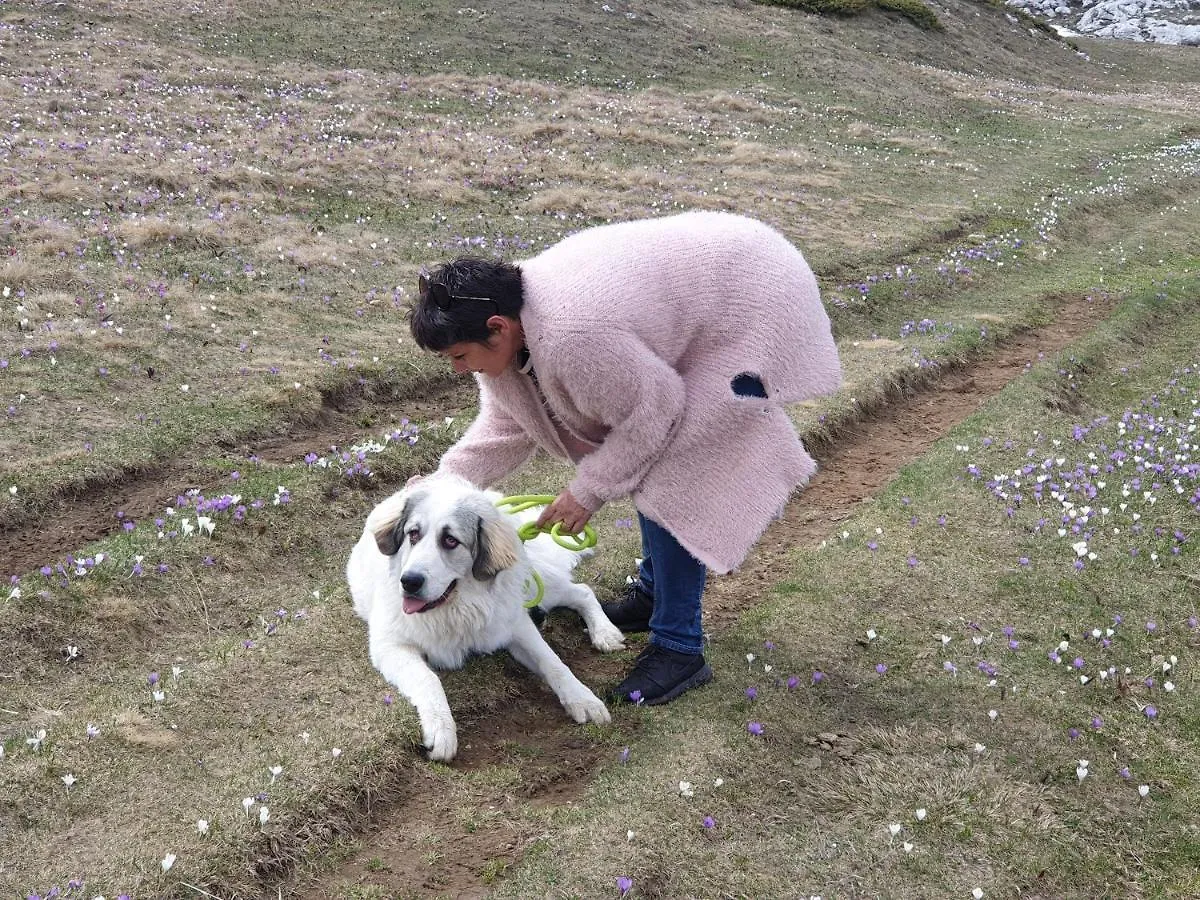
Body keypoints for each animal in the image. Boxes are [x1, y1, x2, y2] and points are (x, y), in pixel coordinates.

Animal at [348, 475, 624, 763]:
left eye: (450, 540)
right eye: (413, 534)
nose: (409, 581)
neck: (455, 608)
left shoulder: (515, 624)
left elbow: (553, 662)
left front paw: (582, 698)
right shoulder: (391, 647)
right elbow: (429, 680)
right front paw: (442, 730)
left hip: (534, 586)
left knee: (583, 591)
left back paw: (604, 632)